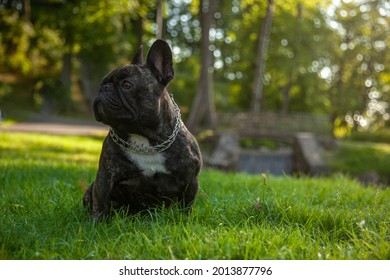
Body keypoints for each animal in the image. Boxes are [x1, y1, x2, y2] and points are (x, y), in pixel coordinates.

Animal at [83, 39, 203, 219]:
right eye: (102, 83)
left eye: (127, 85)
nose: (104, 88)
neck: (145, 138)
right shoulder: (104, 176)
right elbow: (100, 202)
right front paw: (98, 222)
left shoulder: (190, 180)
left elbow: (186, 206)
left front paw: (184, 220)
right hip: (89, 190)